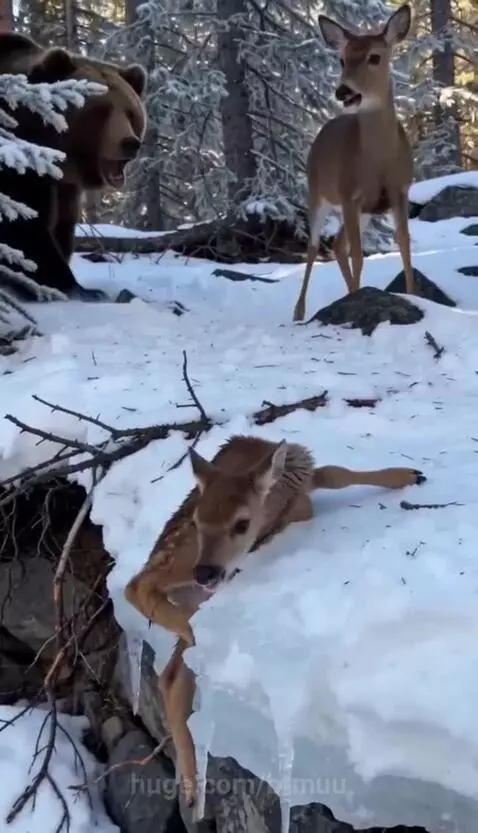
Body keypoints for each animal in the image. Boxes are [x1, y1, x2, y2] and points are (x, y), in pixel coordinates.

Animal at [0, 32, 147, 301]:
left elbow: (62, 225)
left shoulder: (64, 186)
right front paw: (73, 286)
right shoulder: (18, 160)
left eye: (131, 113)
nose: (130, 143)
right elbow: (22, 225)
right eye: (101, 110)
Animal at [124, 434, 426, 808]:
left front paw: (409, 475)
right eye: (197, 521)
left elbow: (334, 472)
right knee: (138, 586)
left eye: (240, 523)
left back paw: (192, 790)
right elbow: (329, 480)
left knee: (172, 675)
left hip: (199, 596)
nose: (206, 572)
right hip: (185, 568)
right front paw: (408, 474)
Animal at [293, 3, 415, 323]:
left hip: (365, 211)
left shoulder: (399, 191)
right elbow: (359, 255)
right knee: (315, 247)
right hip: (317, 194)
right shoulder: (349, 194)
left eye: (375, 57)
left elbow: (404, 244)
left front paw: (414, 296)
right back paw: (299, 312)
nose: (343, 91)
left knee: (338, 244)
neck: (379, 162)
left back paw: (348, 293)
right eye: (341, 59)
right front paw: (359, 303)